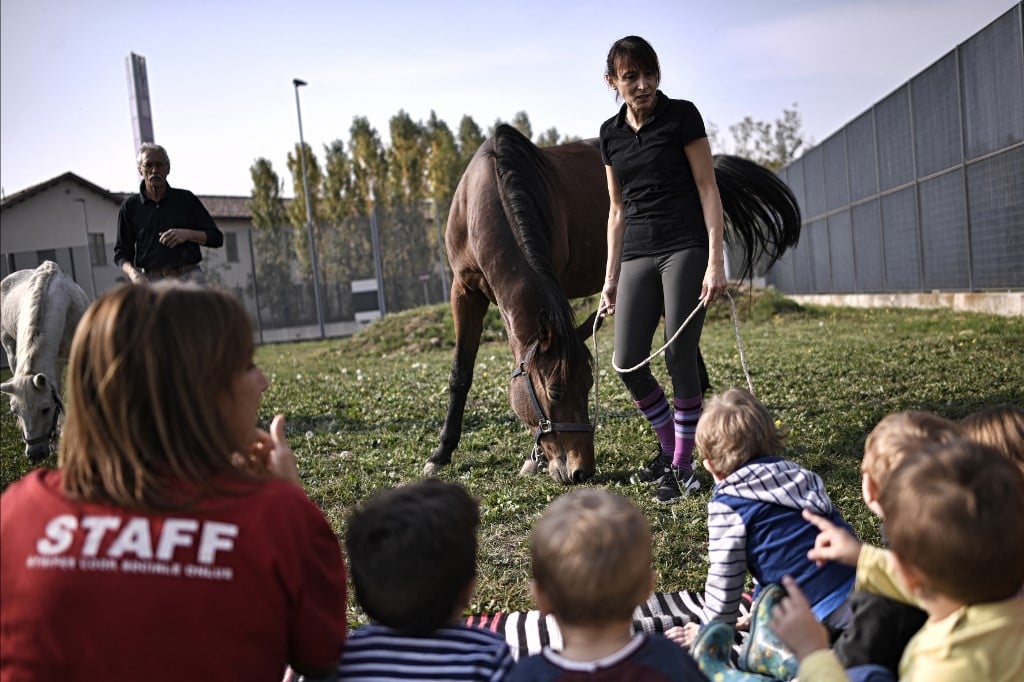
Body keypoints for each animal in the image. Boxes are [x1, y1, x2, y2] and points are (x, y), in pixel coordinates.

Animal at [423, 123, 798, 483]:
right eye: (555, 393)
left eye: (589, 385)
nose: (581, 471)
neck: (487, 196)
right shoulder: (464, 291)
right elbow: (461, 373)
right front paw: (441, 454)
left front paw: (532, 459)